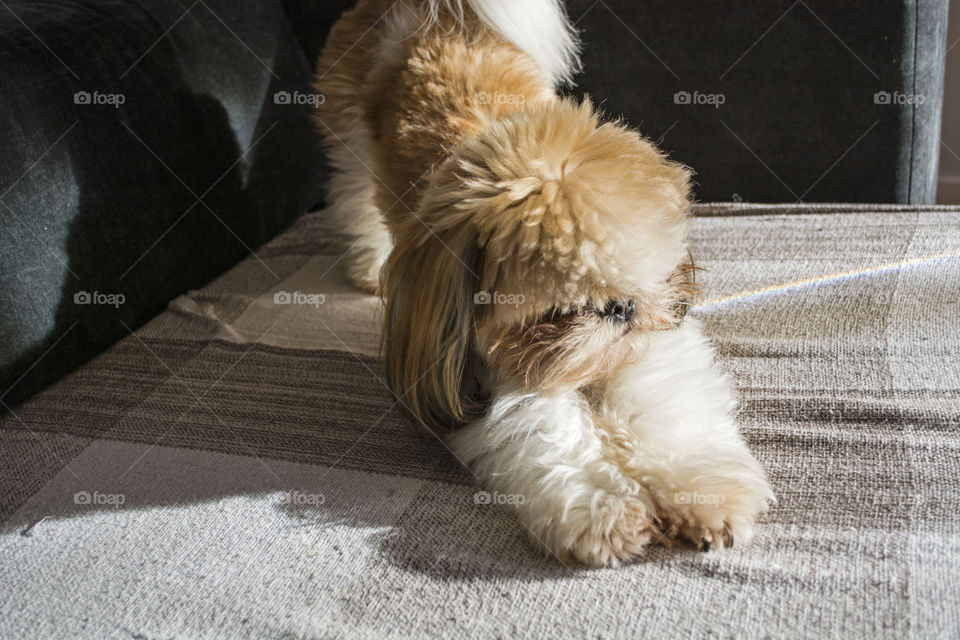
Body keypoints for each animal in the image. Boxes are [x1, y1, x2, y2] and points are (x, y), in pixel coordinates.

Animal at [316, 0, 772, 564]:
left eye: (642, 277)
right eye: (556, 311)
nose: (620, 308)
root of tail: (429, 13)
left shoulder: (654, 348)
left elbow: (665, 411)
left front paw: (704, 495)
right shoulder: (495, 387)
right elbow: (551, 436)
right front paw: (607, 514)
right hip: (349, 137)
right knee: (354, 195)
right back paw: (369, 266)